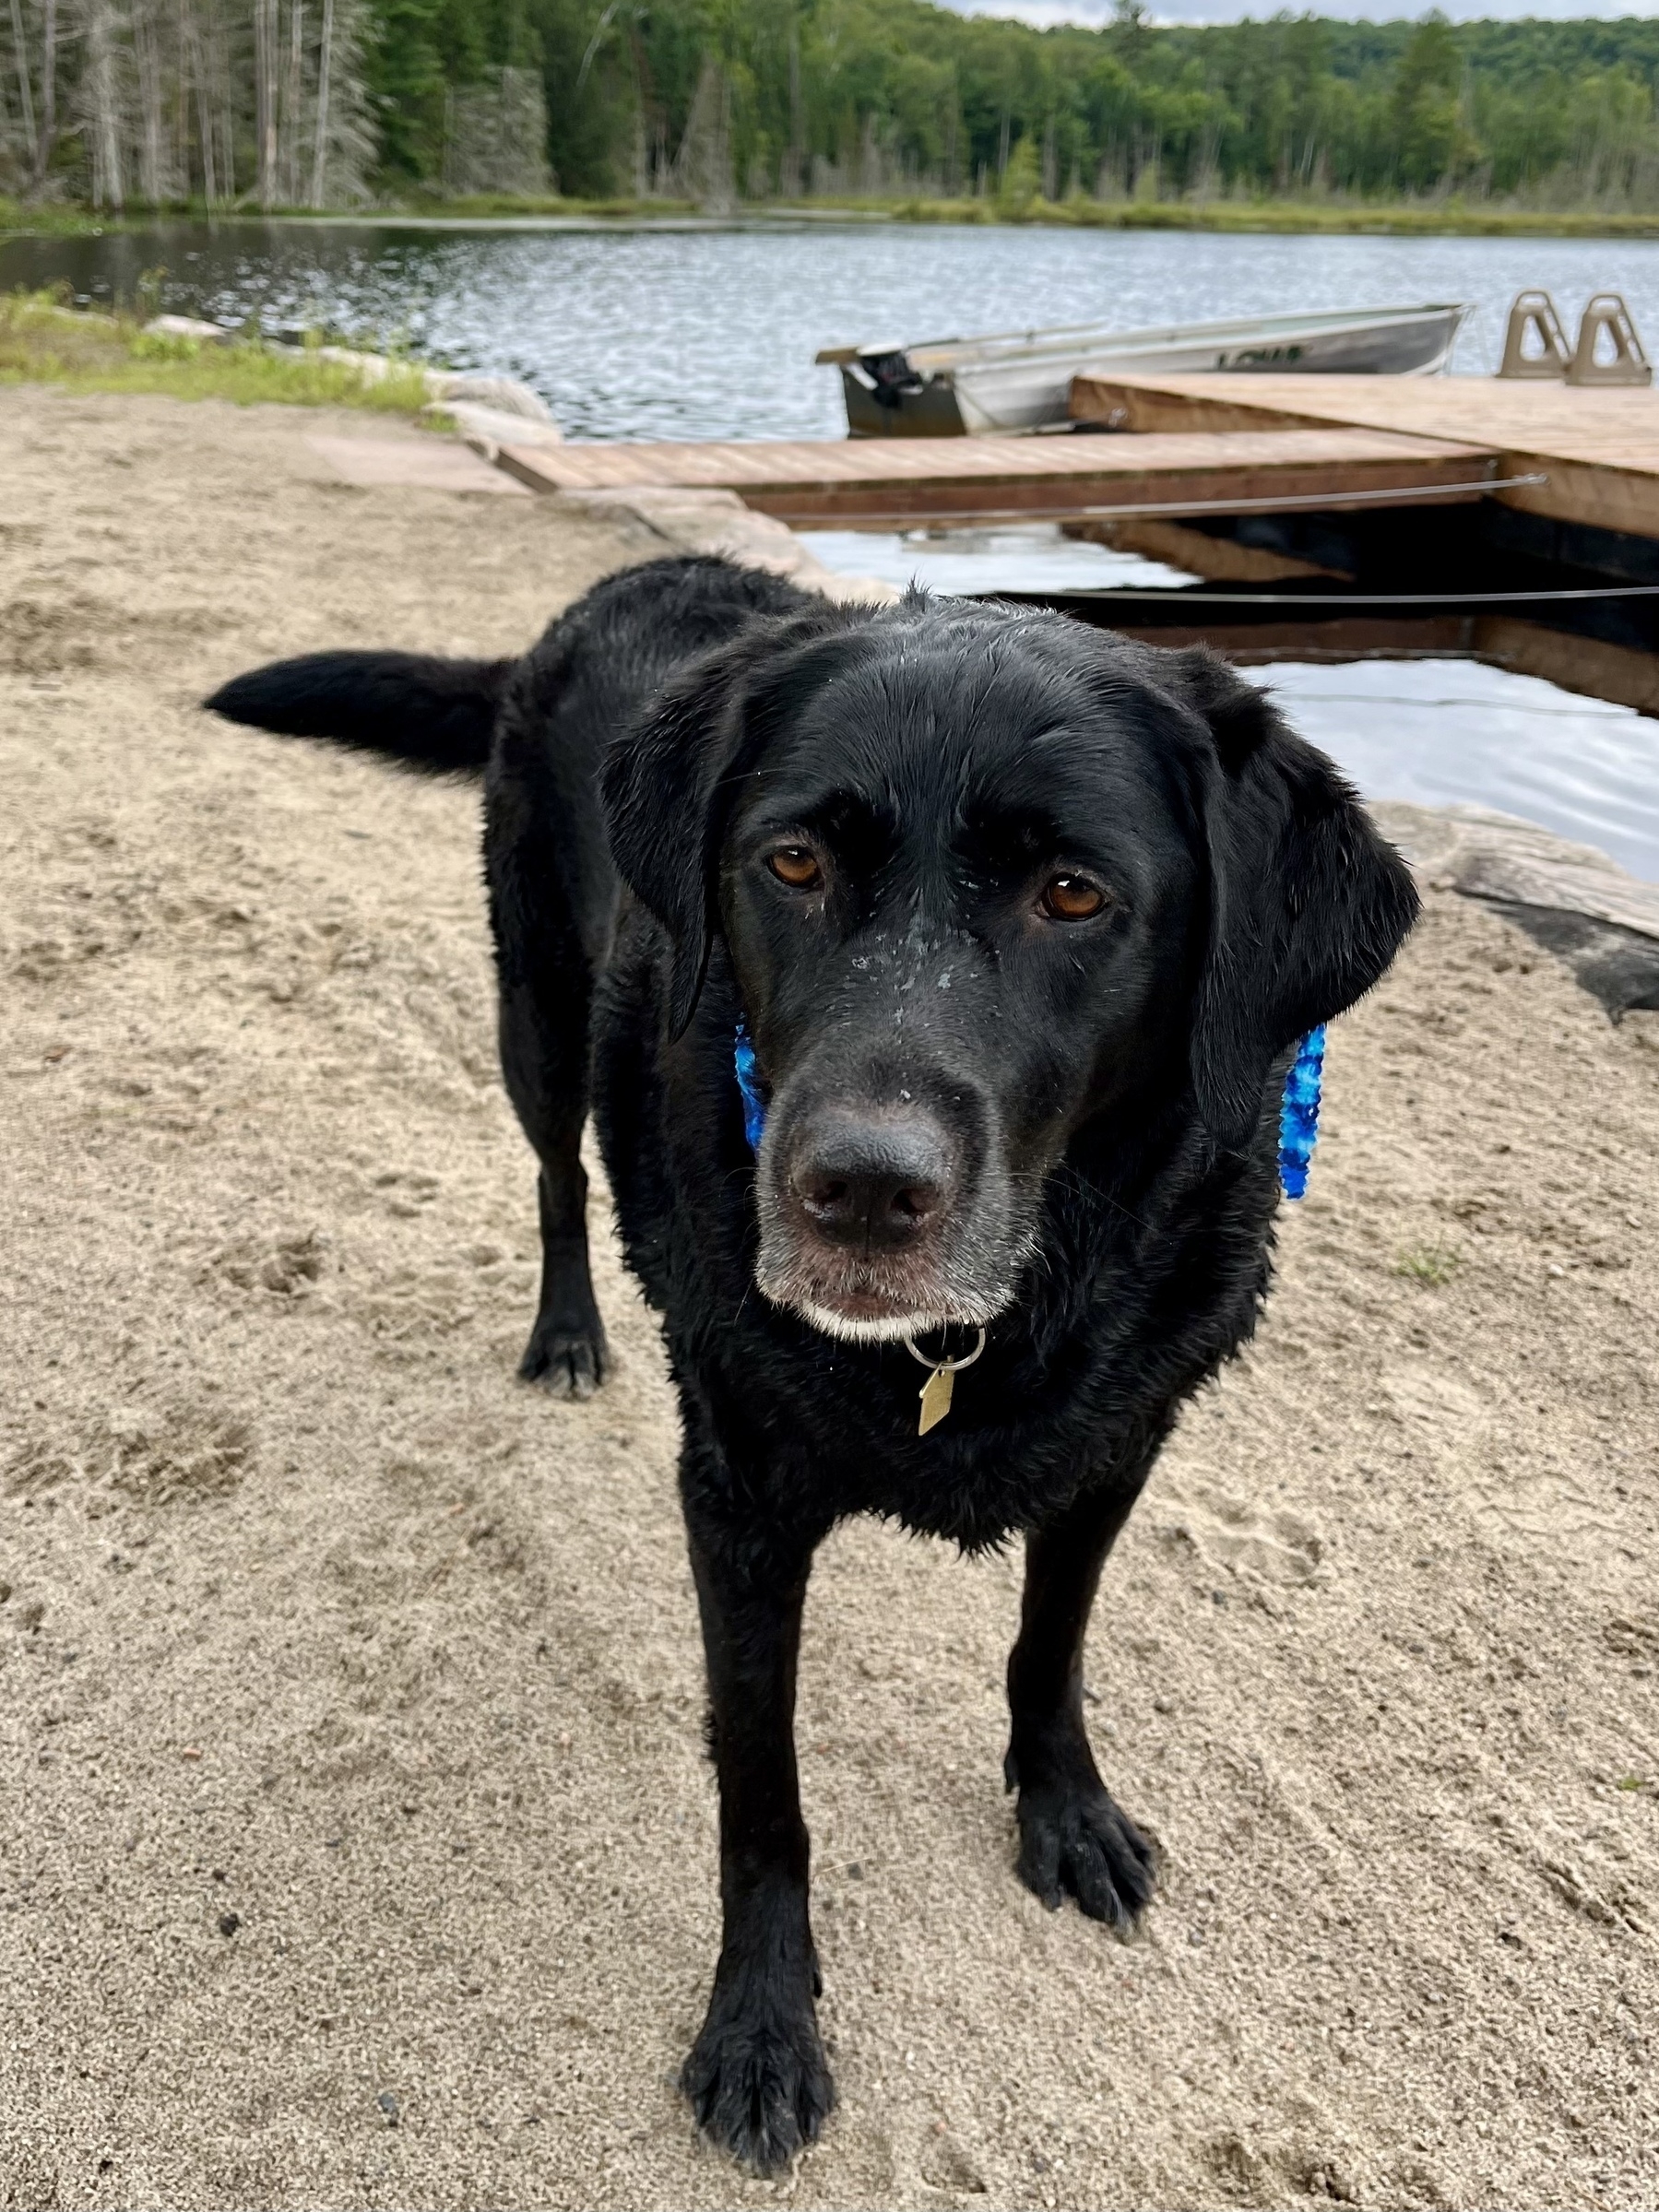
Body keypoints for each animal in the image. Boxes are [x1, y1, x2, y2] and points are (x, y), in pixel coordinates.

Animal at [207, 557, 1416, 2176]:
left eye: (1074, 893)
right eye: (789, 864)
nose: (856, 1186)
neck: (991, 1322)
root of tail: (628, 580)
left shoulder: (1121, 1443)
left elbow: (1051, 1642)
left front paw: (1065, 1806)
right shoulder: (737, 1505)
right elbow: (762, 1794)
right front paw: (761, 2026)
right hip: (536, 1014)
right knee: (552, 1176)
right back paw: (567, 1333)